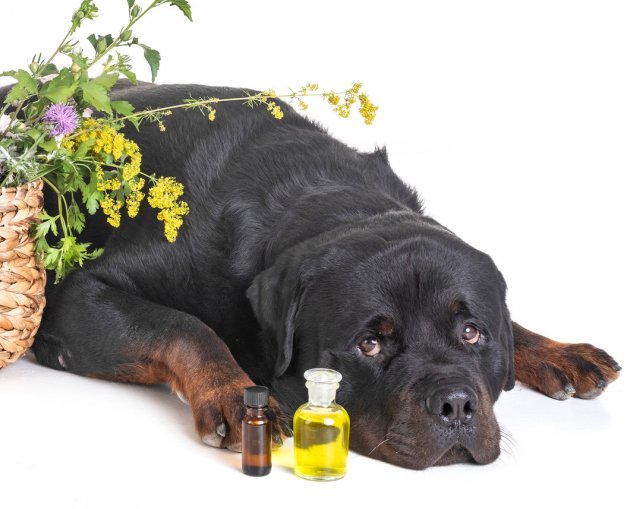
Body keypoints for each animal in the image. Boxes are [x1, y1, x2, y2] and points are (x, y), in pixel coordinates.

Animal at [21, 82, 624, 468]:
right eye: (369, 345)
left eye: (472, 333)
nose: (455, 404)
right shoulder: (75, 297)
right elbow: (185, 327)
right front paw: (234, 392)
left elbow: (511, 320)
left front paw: (554, 349)